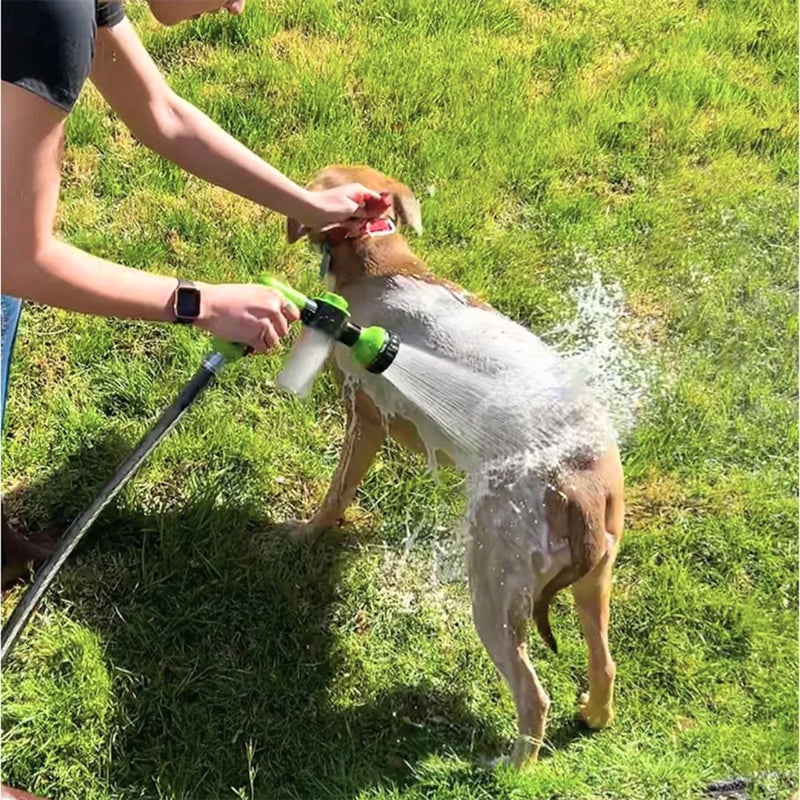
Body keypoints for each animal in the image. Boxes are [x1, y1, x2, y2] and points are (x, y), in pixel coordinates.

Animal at [288, 164, 624, 768]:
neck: (382, 263)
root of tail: (581, 488)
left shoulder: (364, 419)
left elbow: (335, 495)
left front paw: (303, 534)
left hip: (494, 590)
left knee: (533, 695)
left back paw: (511, 769)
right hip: (595, 580)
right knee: (604, 663)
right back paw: (592, 715)